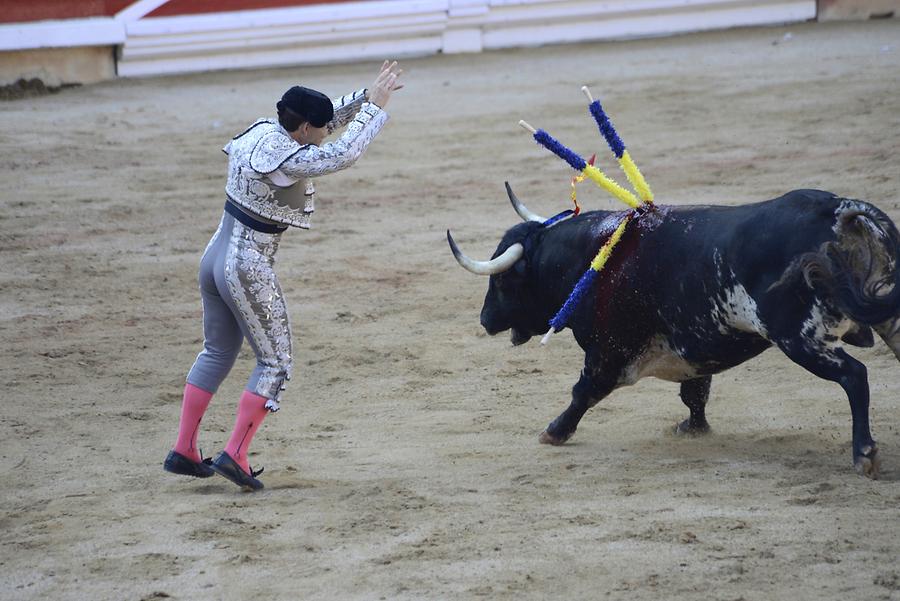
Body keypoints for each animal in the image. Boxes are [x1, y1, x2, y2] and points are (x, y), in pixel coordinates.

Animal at [450, 186, 900, 478]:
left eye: (503, 281)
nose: (485, 319)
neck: (592, 257)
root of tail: (839, 209)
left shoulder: (608, 353)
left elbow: (583, 392)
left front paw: (554, 431)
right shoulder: (696, 350)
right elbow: (694, 394)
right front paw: (692, 429)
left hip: (800, 338)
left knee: (854, 376)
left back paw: (864, 454)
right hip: (884, 316)